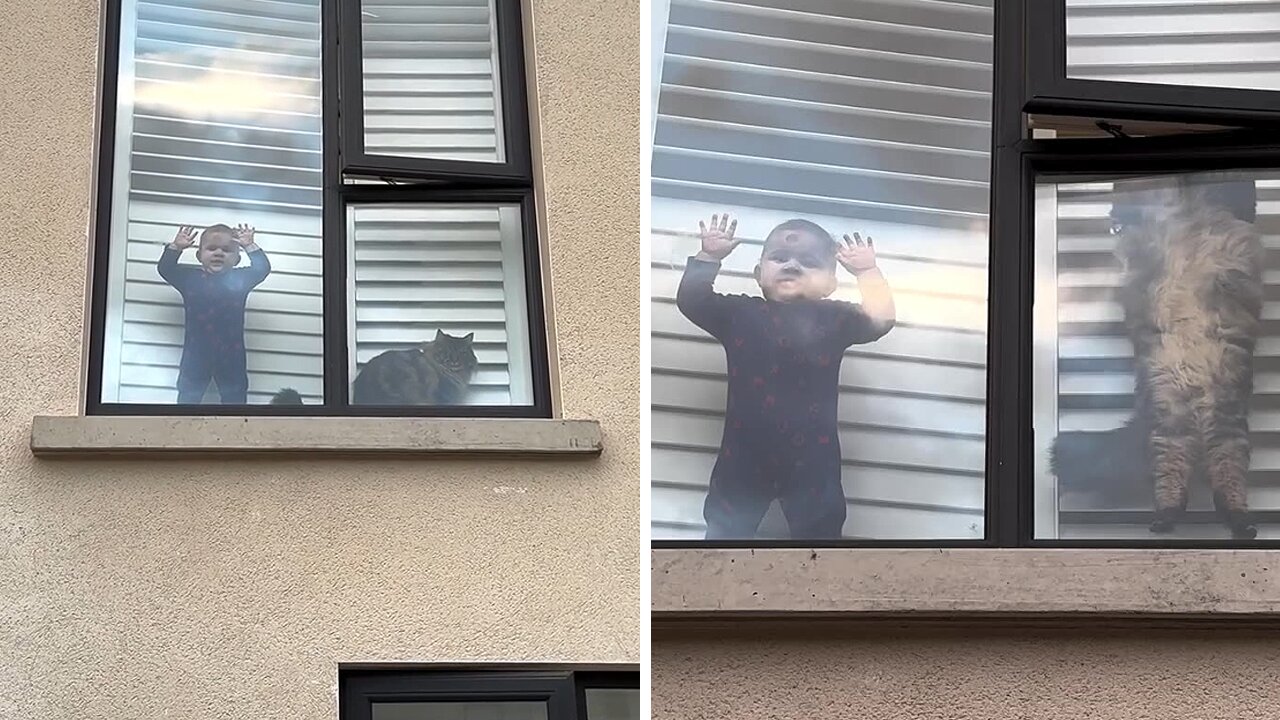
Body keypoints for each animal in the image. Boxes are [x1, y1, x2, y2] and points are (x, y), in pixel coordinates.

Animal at [1049, 174, 1259, 538]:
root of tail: (1198, 408)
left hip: (1220, 422)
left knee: (1219, 481)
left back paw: (1233, 523)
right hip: (1175, 423)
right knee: (1180, 478)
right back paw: (1169, 520)